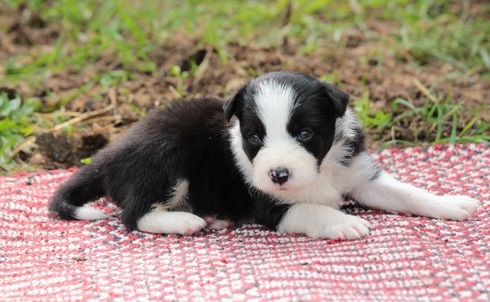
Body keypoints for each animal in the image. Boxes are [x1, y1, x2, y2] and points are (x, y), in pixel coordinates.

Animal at [48, 72, 478, 239]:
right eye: (254, 137)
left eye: (304, 133)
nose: (279, 175)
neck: (320, 170)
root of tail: (110, 153)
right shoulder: (269, 204)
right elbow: (311, 209)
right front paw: (344, 222)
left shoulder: (358, 174)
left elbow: (406, 193)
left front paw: (451, 203)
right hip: (165, 155)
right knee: (132, 214)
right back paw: (185, 220)